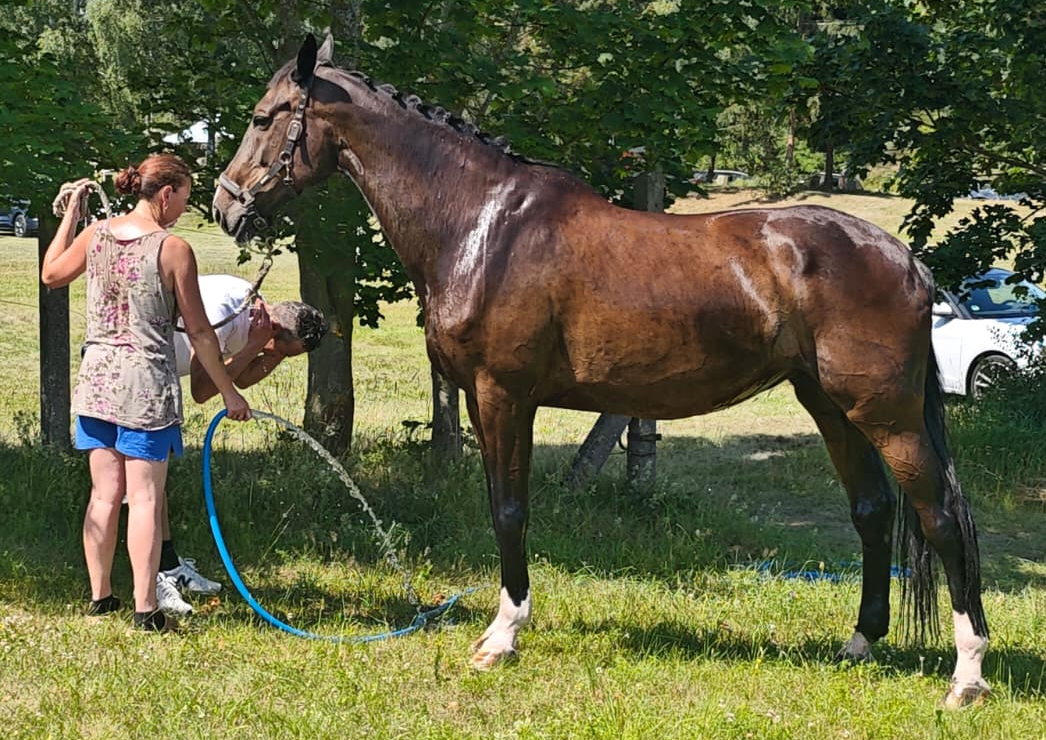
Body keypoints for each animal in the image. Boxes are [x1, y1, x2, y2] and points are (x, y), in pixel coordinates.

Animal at [213, 34, 989, 707]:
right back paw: (859, 644)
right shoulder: (482, 402)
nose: (224, 205)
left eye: (261, 117)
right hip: (830, 405)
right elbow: (502, 505)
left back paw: (967, 676)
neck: (480, 225)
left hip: (886, 416)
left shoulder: (503, 395)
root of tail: (907, 260)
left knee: (942, 518)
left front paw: (501, 637)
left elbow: (508, 510)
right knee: (873, 510)